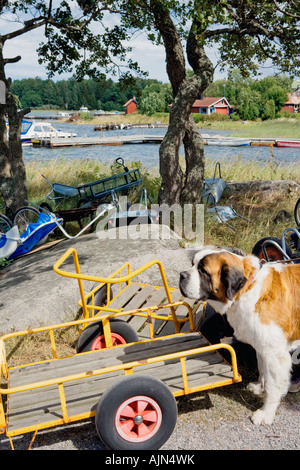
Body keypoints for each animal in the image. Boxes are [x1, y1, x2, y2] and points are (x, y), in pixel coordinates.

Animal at [179, 248, 298, 428]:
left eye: (203, 271)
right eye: (192, 264)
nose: (182, 275)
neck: (247, 289)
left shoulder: (275, 353)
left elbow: (273, 385)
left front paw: (265, 413)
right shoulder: (261, 346)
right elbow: (262, 369)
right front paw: (259, 387)